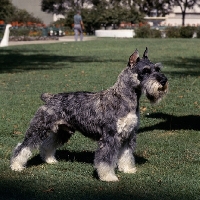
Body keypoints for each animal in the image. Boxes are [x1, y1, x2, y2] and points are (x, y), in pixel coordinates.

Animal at [10, 47, 168, 182]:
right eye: (145, 71)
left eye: (157, 69)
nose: (164, 80)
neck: (125, 98)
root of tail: (50, 98)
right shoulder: (110, 137)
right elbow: (105, 159)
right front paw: (108, 176)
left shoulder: (129, 135)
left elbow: (126, 155)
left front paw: (128, 169)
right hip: (39, 128)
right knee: (23, 146)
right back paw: (16, 166)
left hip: (63, 131)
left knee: (47, 145)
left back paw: (49, 160)